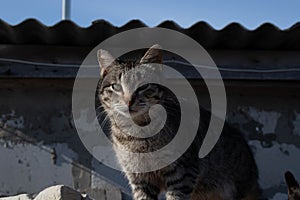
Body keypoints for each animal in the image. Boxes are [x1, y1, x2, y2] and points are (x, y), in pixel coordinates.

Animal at [96, 44, 260, 199]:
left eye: (144, 86)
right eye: (116, 86)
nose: (128, 101)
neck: (137, 134)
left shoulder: (183, 173)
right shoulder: (140, 179)